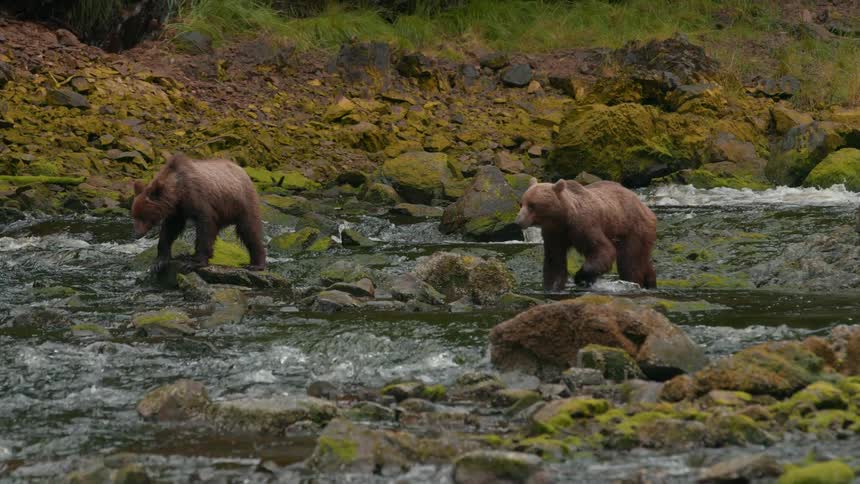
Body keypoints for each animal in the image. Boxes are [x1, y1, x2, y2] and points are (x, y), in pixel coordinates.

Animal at [131, 154, 266, 272]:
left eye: (143, 216)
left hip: (242, 202)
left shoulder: (198, 198)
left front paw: (195, 263)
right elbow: (170, 230)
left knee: (249, 229)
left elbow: (205, 226)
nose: (136, 234)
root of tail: (242, 170)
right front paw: (159, 262)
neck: (179, 191)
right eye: (134, 216)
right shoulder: (178, 210)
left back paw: (256, 264)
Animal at [515, 178, 656, 291]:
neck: (562, 218)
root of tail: (644, 206)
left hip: (632, 228)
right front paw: (552, 287)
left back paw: (633, 282)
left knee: (630, 260)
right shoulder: (554, 234)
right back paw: (650, 282)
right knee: (642, 259)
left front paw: (580, 277)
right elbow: (554, 260)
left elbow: (602, 250)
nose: (518, 221)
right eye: (522, 203)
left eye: (532, 205)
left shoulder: (584, 226)